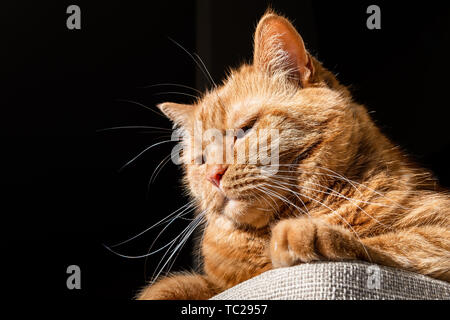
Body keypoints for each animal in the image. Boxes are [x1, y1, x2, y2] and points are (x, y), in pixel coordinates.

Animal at [138, 10, 450, 300]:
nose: (214, 175)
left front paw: (304, 234)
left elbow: (394, 243)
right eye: (201, 159)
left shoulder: (439, 226)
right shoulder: (221, 285)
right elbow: (175, 285)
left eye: (245, 129)